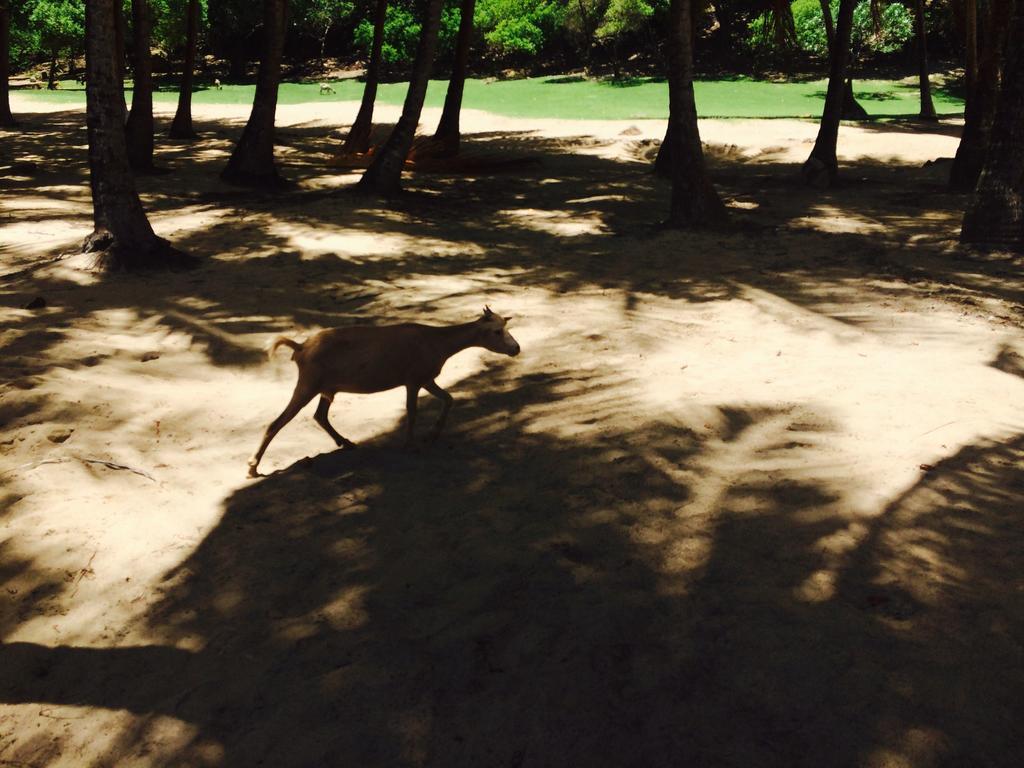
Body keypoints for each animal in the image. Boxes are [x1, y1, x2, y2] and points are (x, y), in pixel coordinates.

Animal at [246, 305, 520, 475]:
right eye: (497, 331)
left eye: (506, 328)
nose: (516, 348)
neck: (437, 342)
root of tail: (301, 347)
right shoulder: (413, 380)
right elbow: (412, 412)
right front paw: (410, 444)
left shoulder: (426, 379)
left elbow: (449, 399)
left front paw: (433, 434)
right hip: (307, 385)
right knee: (276, 423)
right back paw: (252, 466)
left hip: (327, 388)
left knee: (320, 416)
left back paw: (346, 442)